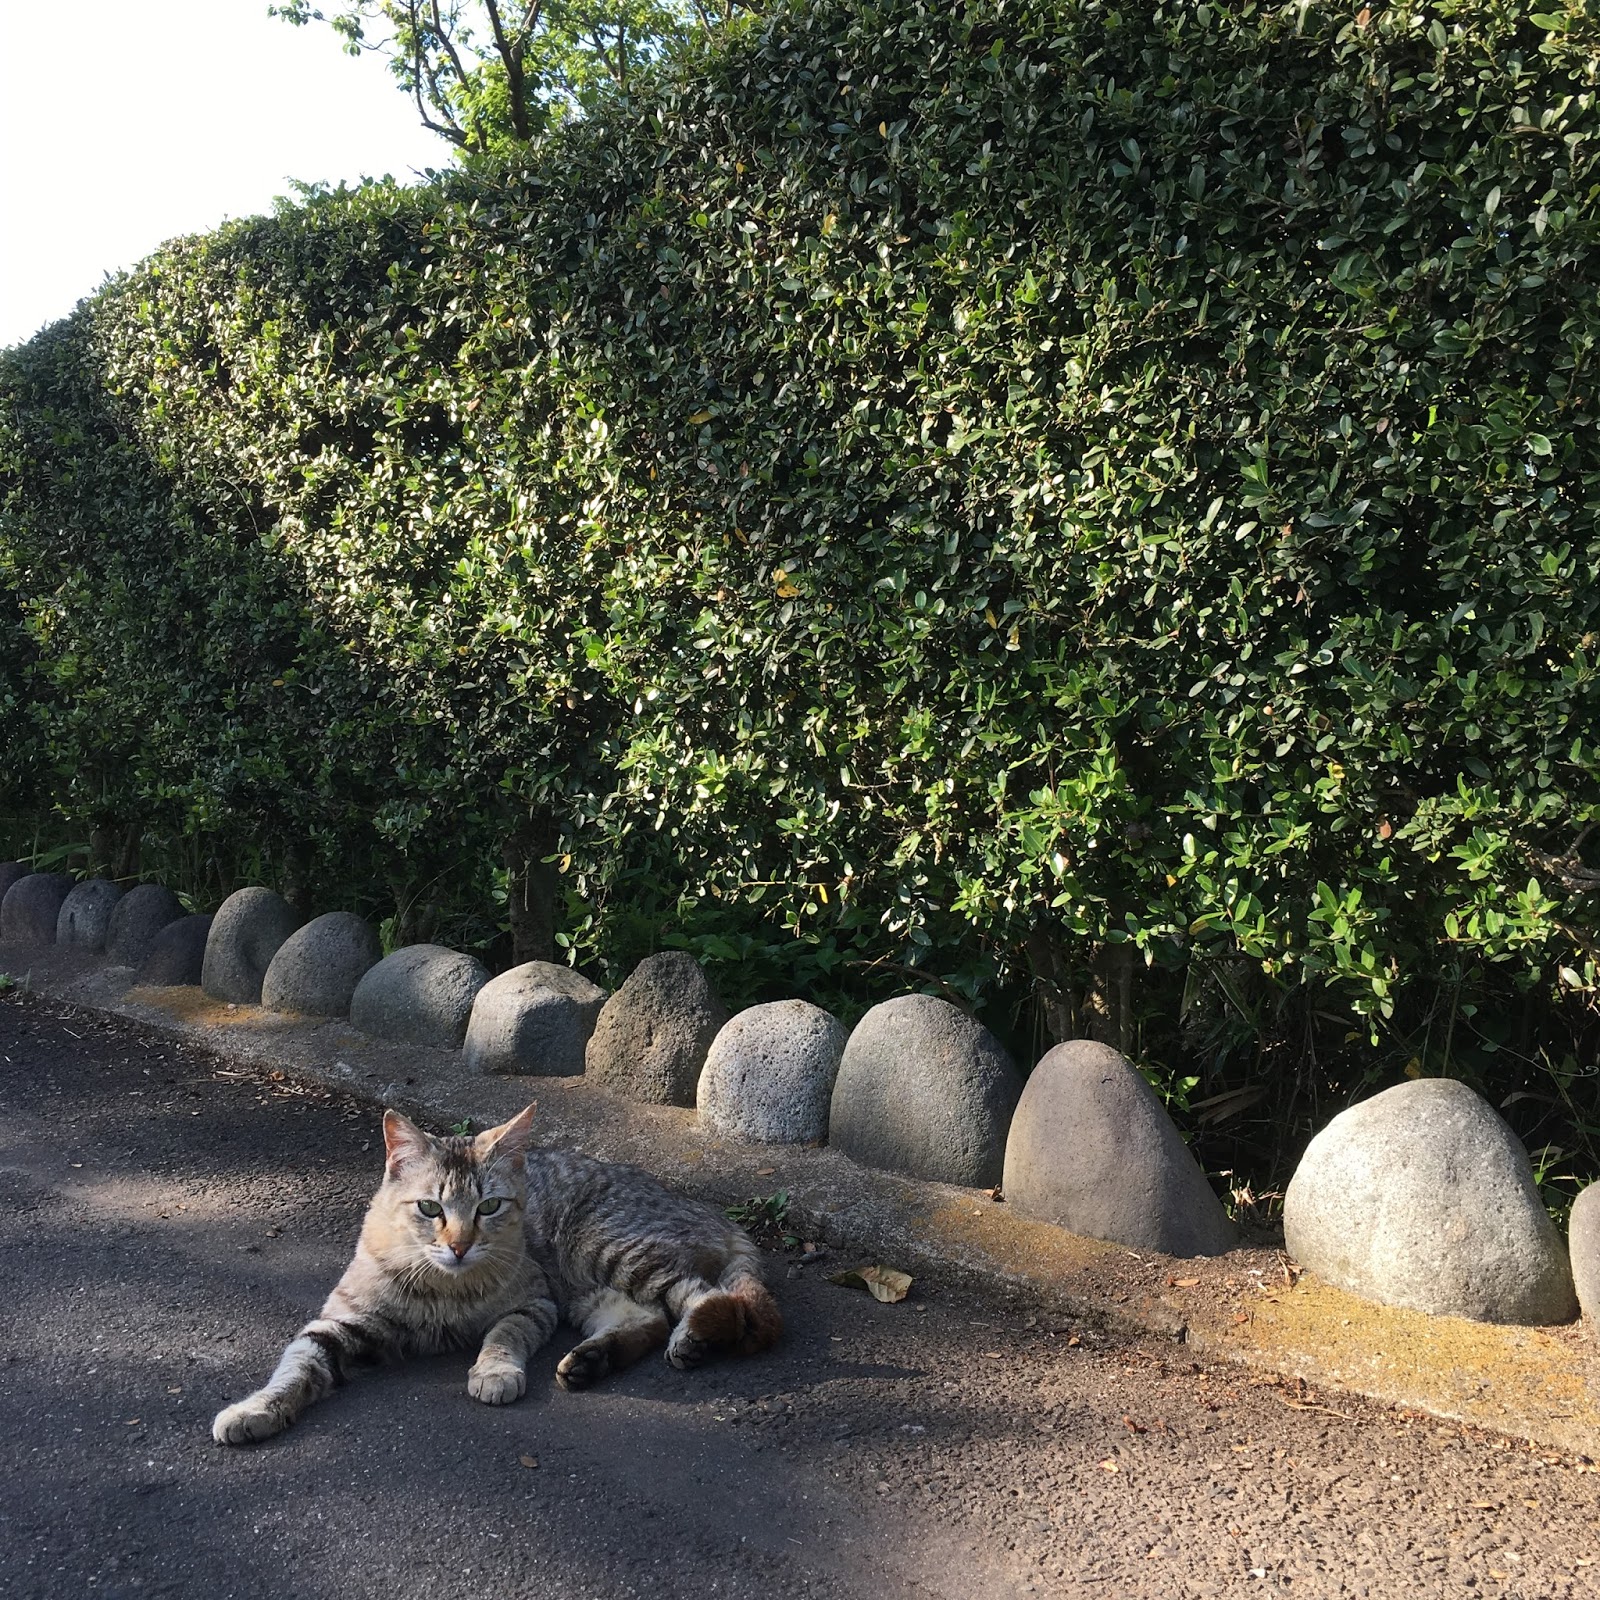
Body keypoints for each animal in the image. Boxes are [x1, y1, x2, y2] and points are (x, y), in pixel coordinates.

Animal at [212, 1102, 782, 1444]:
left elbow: (503, 1334)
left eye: (489, 1207)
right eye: (429, 1208)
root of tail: (705, 1208)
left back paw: (695, 1335)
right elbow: (295, 1367)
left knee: (711, 1300)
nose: (460, 1245)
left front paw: (494, 1371)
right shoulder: (339, 1323)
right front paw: (256, 1408)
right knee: (649, 1318)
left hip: (610, 1249)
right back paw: (592, 1360)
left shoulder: (534, 1303)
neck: (444, 1285)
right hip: (591, 1288)